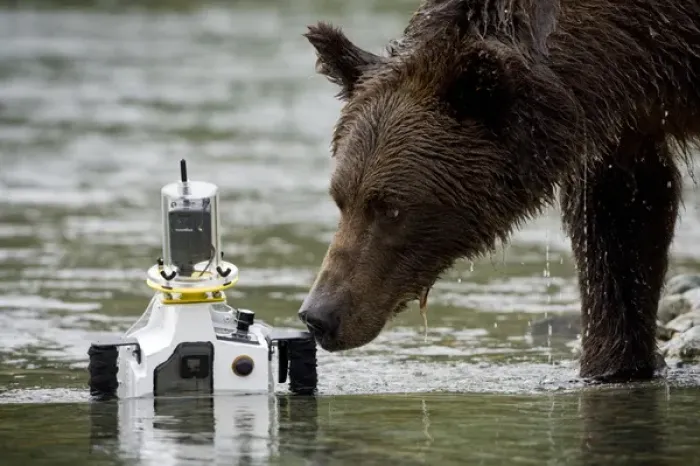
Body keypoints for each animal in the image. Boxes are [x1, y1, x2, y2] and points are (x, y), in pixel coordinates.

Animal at [297, 0, 700, 383]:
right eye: (340, 200)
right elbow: (622, 225)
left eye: (391, 209)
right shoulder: (625, 124)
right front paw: (612, 364)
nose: (318, 315)